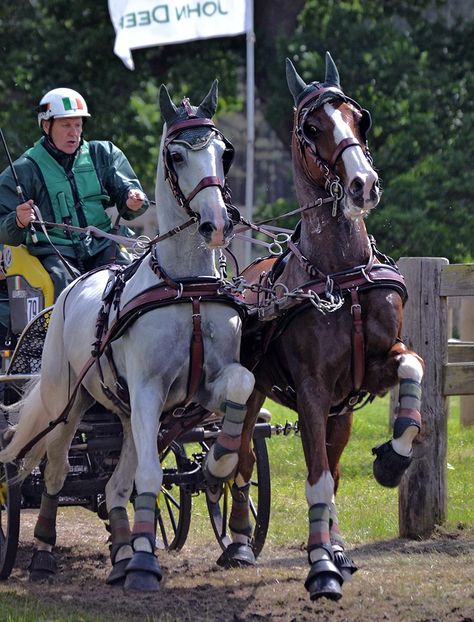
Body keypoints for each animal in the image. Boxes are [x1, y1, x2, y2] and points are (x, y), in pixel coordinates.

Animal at [0, 83, 256, 596]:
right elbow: (150, 475)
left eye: (225, 152)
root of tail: (78, 281)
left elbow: (242, 390)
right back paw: (44, 552)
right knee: (56, 468)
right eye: (176, 155)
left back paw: (121, 552)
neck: (184, 285)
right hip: (68, 404)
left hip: (123, 412)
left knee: (114, 484)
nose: (218, 224)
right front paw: (143, 565)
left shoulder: (201, 388)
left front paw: (217, 465)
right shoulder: (147, 391)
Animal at [220, 54, 424, 604]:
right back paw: (240, 542)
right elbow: (314, 478)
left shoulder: (368, 371)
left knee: (329, 464)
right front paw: (320, 568)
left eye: (359, 118)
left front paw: (393, 459)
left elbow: (413, 366)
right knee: (242, 459)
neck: (339, 274)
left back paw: (334, 544)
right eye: (312, 128)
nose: (363, 184)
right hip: (254, 392)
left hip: (342, 410)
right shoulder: (311, 389)